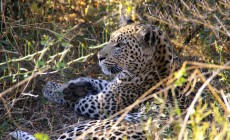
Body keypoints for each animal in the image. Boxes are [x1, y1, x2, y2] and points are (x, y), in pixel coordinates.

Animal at [9, 18, 183, 140]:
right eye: (111, 40)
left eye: (120, 45)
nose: (99, 57)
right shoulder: (113, 85)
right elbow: (100, 81)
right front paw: (75, 84)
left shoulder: (104, 104)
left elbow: (78, 101)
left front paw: (53, 89)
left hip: (88, 126)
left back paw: (17, 133)